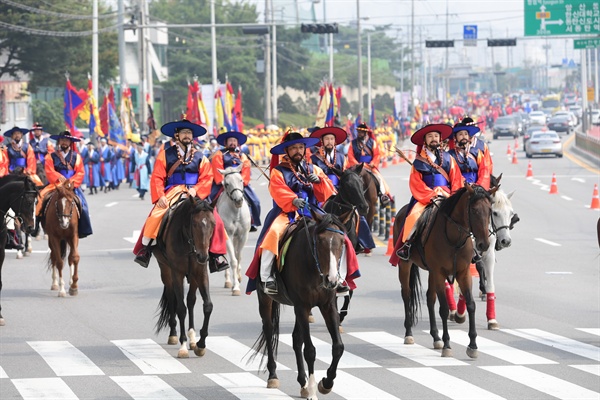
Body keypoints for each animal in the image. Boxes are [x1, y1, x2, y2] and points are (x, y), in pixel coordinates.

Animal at [155, 195, 216, 358]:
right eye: (194, 224)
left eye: (213, 224)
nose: (203, 256)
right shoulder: (177, 272)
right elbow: (181, 309)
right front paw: (183, 345)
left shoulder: (200, 272)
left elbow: (207, 306)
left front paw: (200, 344)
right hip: (165, 270)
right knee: (172, 298)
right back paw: (173, 334)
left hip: (193, 277)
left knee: (191, 300)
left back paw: (193, 338)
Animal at [216, 164, 251, 296]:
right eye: (226, 184)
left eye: (240, 180)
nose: (238, 200)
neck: (236, 213)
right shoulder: (228, 235)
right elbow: (233, 261)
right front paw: (235, 287)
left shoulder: (243, 235)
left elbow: (239, 257)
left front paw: (239, 278)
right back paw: (228, 281)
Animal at [251, 211, 346, 398]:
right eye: (320, 242)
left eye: (342, 242)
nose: (331, 280)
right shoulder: (302, 306)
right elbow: (309, 350)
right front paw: (313, 391)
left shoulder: (328, 306)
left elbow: (338, 346)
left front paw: (326, 383)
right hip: (265, 299)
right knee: (269, 330)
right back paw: (273, 376)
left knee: (296, 339)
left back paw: (302, 382)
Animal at [392, 183, 494, 358]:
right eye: (474, 211)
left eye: (489, 210)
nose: (484, 244)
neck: (454, 238)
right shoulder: (439, 273)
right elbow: (445, 309)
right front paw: (447, 345)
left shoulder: (463, 272)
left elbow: (471, 305)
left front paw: (472, 345)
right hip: (405, 265)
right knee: (407, 295)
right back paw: (409, 334)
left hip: (431, 272)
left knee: (430, 299)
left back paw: (435, 337)